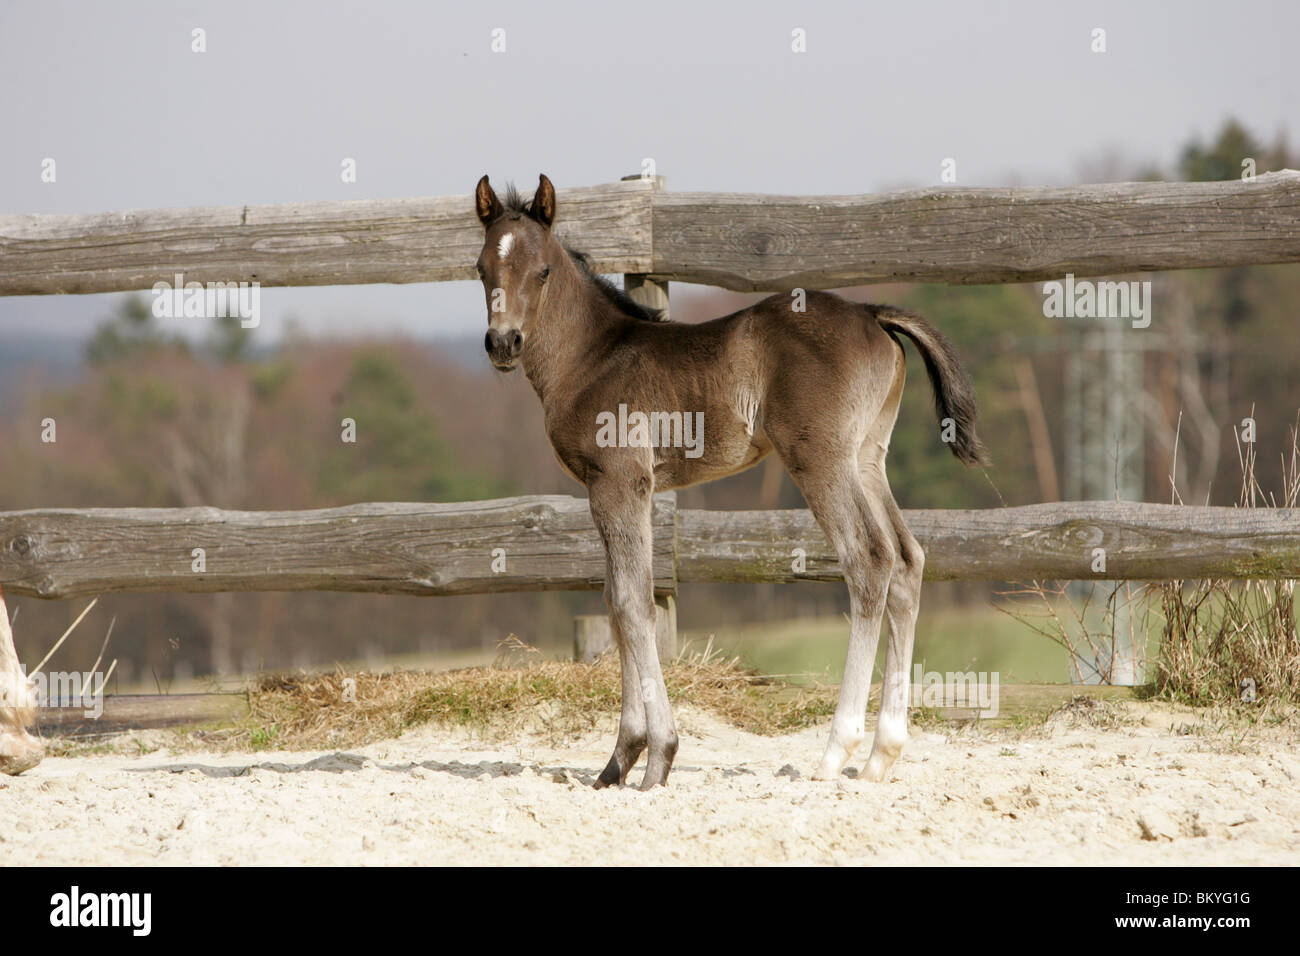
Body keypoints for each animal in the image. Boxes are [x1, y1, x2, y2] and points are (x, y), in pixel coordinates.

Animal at [474, 174, 987, 789]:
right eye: (481, 267)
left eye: (543, 270)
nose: (503, 343)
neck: (591, 357)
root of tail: (870, 312)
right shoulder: (625, 489)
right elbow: (617, 601)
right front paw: (618, 762)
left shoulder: (619, 481)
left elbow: (631, 603)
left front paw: (657, 758)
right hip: (866, 459)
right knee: (908, 560)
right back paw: (881, 755)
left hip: (820, 460)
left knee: (869, 561)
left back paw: (834, 752)